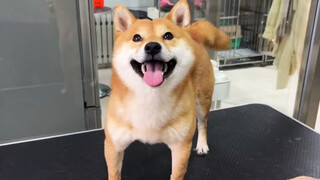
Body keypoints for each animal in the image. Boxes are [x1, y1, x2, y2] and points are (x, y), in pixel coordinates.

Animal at [104, 0, 230, 179]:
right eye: (136, 38)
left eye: (168, 36)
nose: (152, 47)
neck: (150, 97)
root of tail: (192, 35)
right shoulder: (114, 144)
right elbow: (114, 173)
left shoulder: (181, 145)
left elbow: (176, 173)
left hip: (202, 101)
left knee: (203, 123)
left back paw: (202, 144)